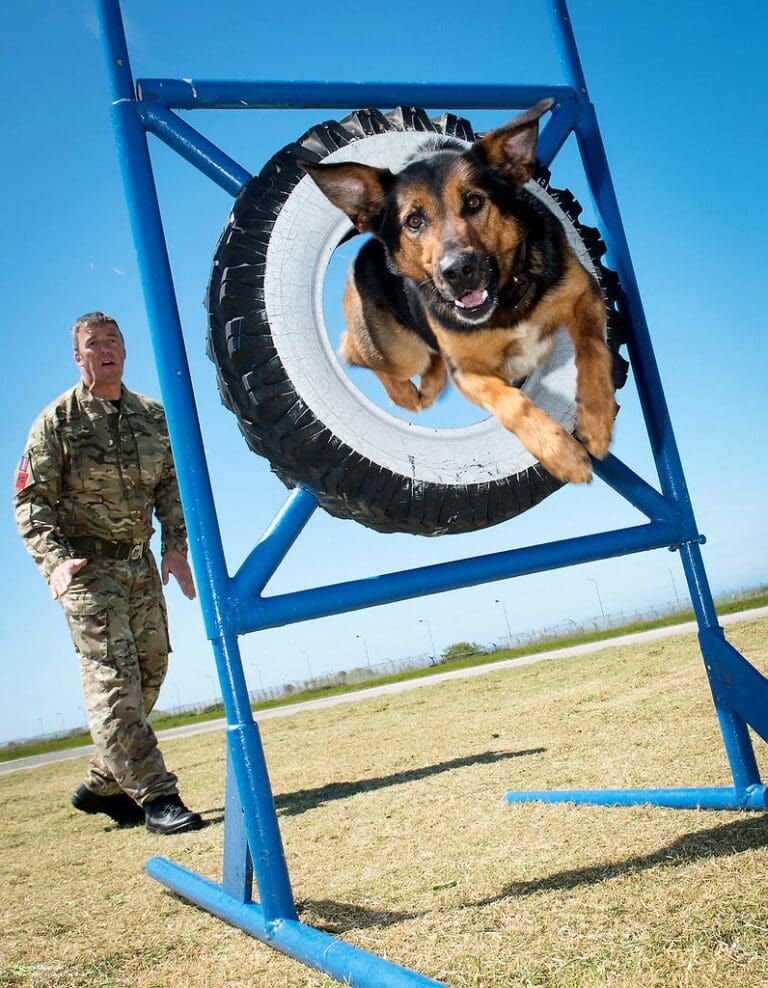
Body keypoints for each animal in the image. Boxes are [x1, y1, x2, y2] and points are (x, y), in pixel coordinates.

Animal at [304, 100, 616, 482]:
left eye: (473, 202)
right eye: (414, 221)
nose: (458, 272)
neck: (506, 303)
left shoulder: (585, 292)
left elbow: (593, 348)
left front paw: (596, 420)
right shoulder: (470, 372)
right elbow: (510, 402)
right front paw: (559, 451)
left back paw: (430, 385)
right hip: (397, 349)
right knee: (353, 349)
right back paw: (405, 393)